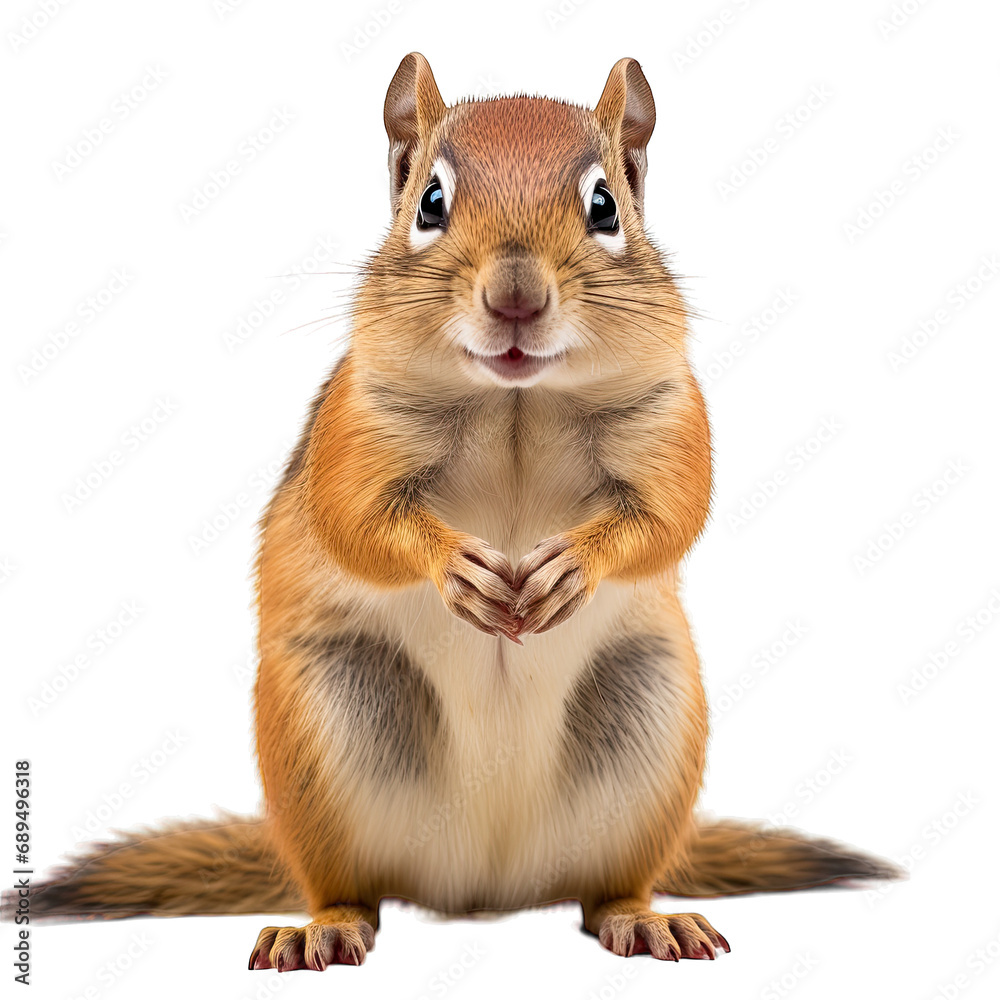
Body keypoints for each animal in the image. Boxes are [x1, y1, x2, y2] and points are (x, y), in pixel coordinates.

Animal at [9, 53, 900, 969]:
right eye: (430, 202)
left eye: (605, 207)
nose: (515, 297)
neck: (517, 400)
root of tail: (485, 889)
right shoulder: (355, 421)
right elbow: (353, 519)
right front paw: (458, 567)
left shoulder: (669, 413)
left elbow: (670, 513)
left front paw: (571, 564)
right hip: (325, 734)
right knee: (347, 888)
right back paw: (321, 928)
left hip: (650, 723)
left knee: (606, 891)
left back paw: (648, 918)